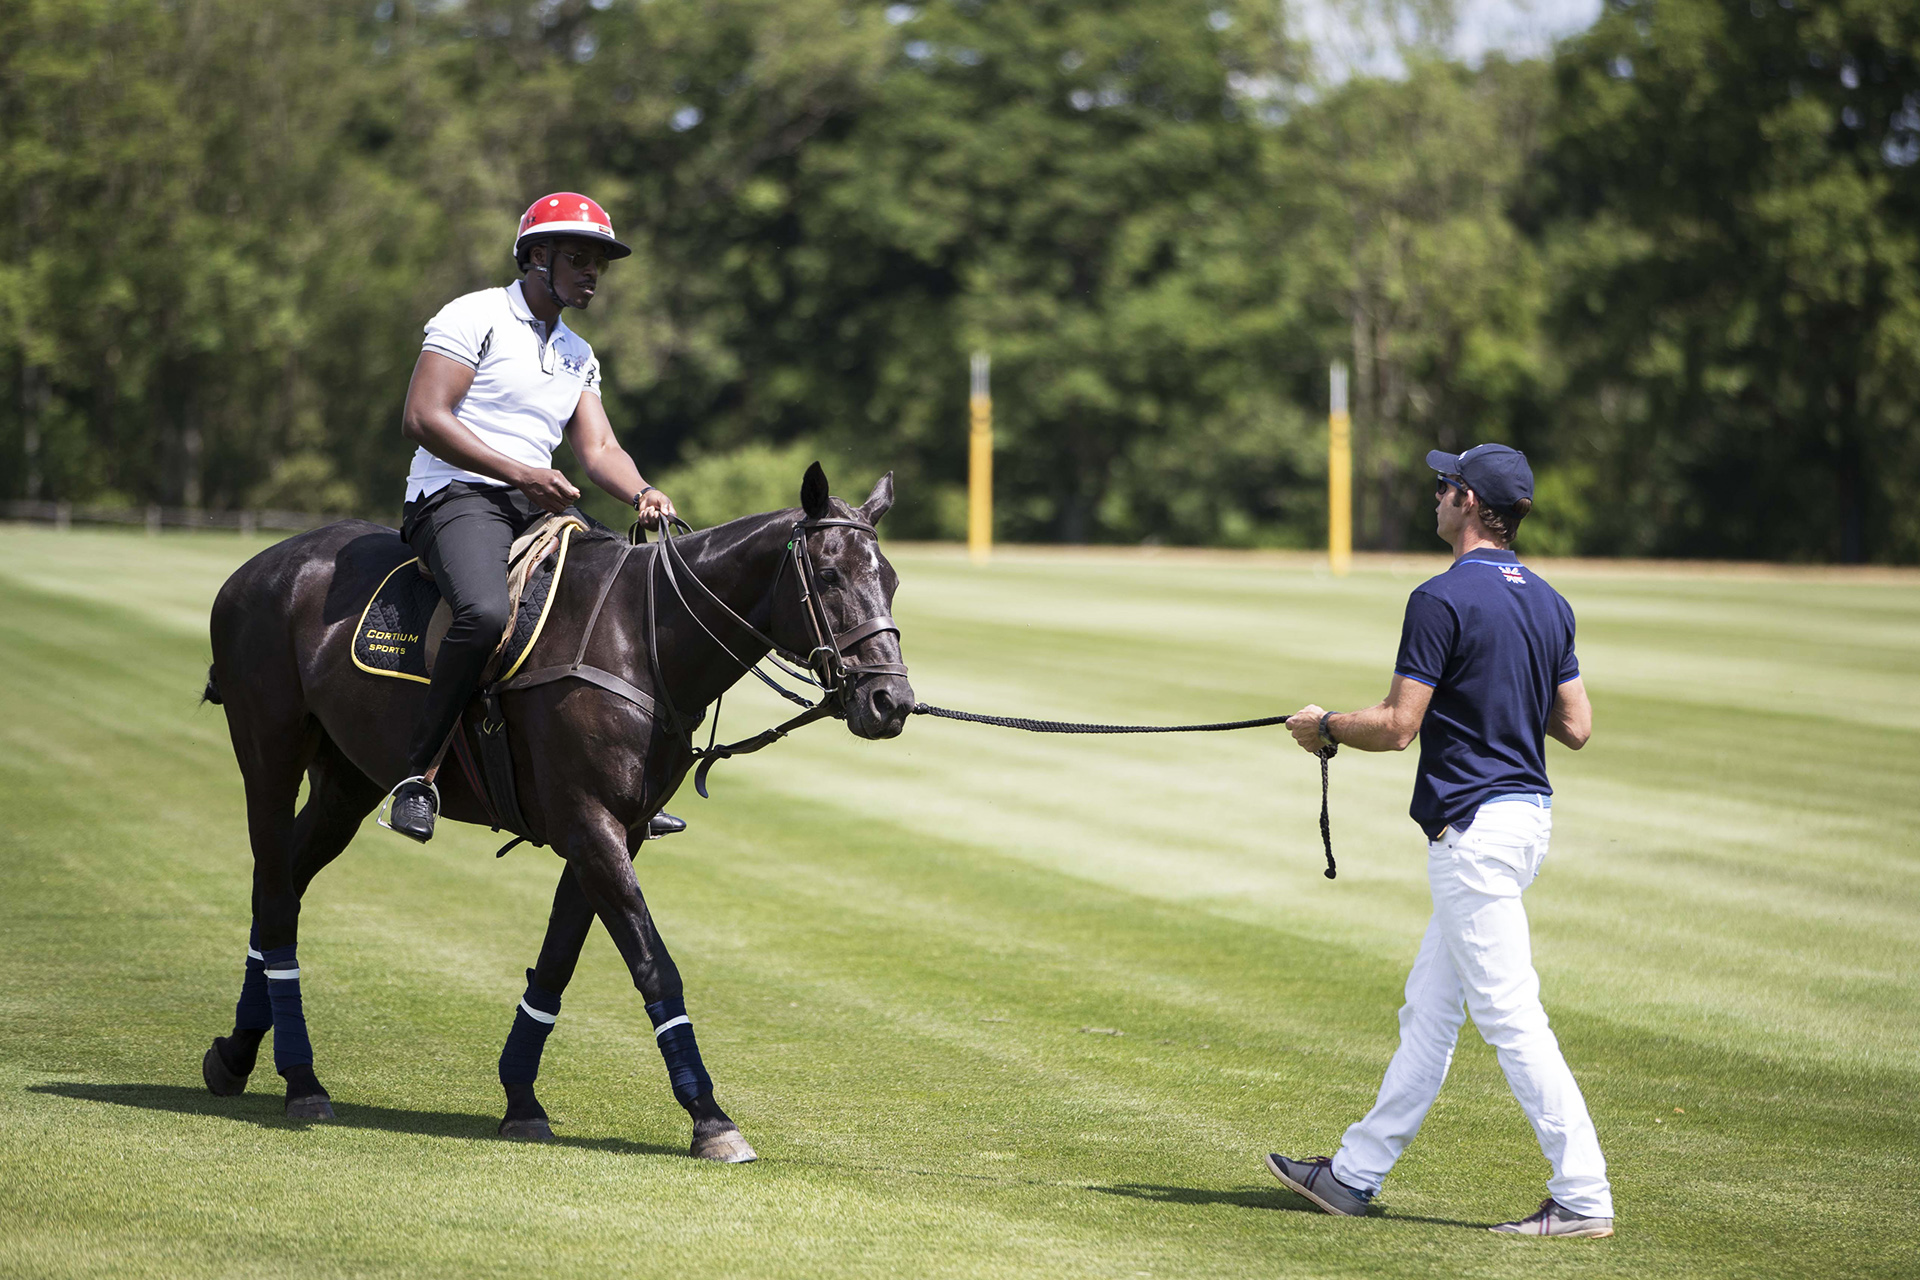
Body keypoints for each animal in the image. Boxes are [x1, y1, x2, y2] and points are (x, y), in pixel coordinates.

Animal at [197, 463, 913, 1161]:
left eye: (893, 581)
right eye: (828, 575)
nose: (891, 702)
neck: (645, 642)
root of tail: (255, 567)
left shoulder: (615, 830)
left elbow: (558, 961)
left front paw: (521, 1100)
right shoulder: (588, 824)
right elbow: (654, 964)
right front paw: (710, 1118)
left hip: (346, 781)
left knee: (282, 887)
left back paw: (236, 1056)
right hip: (269, 754)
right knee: (274, 889)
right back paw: (301, 1079)